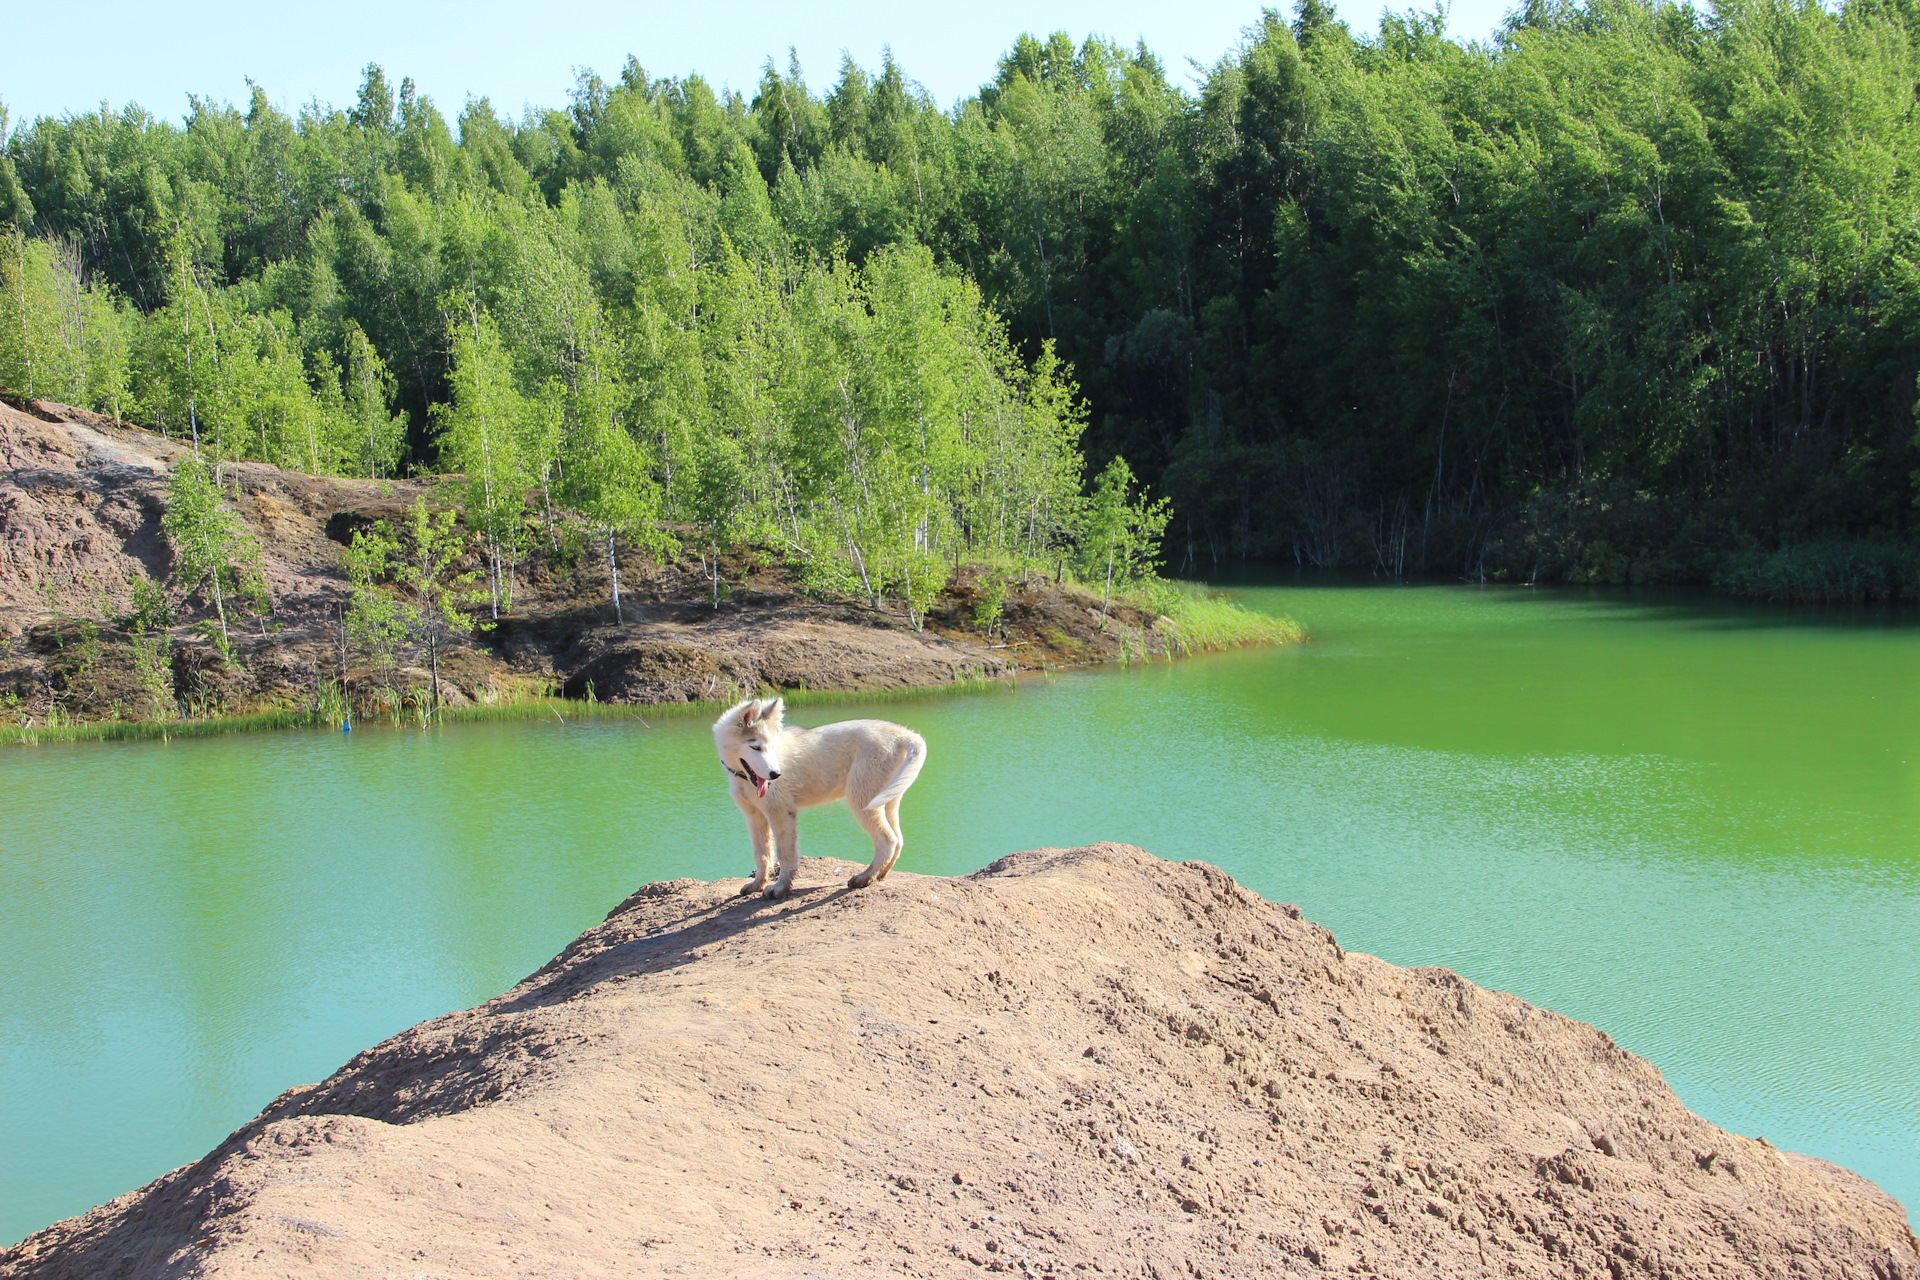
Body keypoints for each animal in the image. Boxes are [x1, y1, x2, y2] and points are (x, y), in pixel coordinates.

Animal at [721, 702, 929, 901]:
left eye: (773, 747)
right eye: (755, 747)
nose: (775, 775)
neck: (743, 777)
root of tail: (902, 734)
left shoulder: (781, 812)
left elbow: (785, 855)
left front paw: (779, 888)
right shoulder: (754, 816)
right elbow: (762, 854)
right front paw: (757, 884)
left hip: (862, 799)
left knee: (887, 840)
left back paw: (865, 877)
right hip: (888, 800)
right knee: (898, 840)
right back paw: (880, 874)